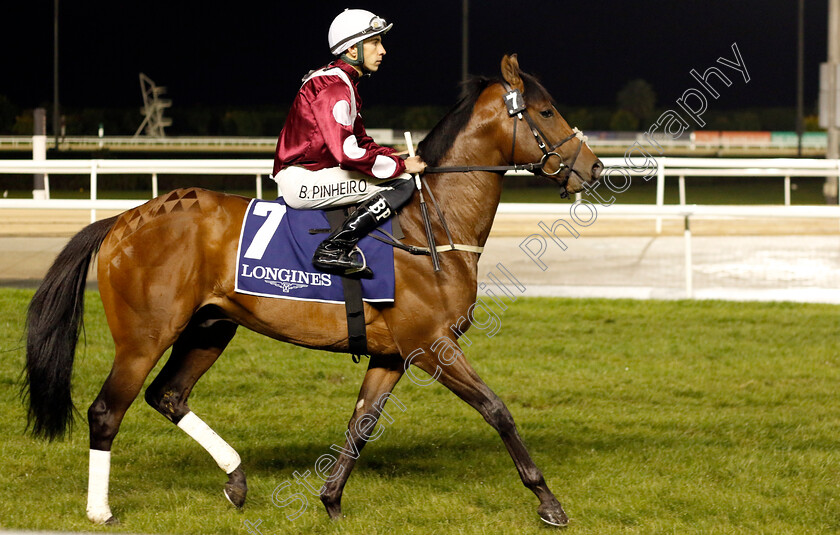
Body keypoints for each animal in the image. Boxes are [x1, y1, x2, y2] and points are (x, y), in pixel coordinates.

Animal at [23, 54, 604, 528]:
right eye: (546, 111)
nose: (594, 167)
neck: (430, 227)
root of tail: (123, 220)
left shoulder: (394, 353)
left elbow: (361, 422)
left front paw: (330, 499)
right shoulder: (432, 344)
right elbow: (496, 409)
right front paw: (548, 502)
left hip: (209, 328)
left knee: (168, 395)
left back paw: (236, 479)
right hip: (144, 336)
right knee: (106, 410)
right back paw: (100, 510)